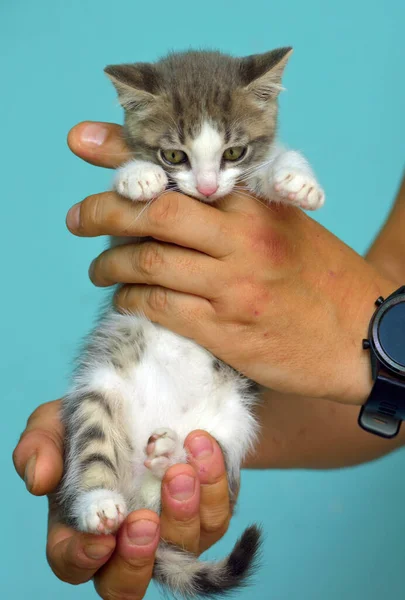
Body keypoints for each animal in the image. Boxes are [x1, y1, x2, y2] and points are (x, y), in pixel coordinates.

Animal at [60, 48, 324, 600]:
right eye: (173, 157)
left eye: (234, 152)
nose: (204, 187)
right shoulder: (125, 246)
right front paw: (137, 175)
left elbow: (274, 164)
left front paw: (295, 178)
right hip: (98, 392)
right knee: (94, 455)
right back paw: (99, 504)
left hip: (232, 424)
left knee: (190, 468)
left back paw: (167, 454)